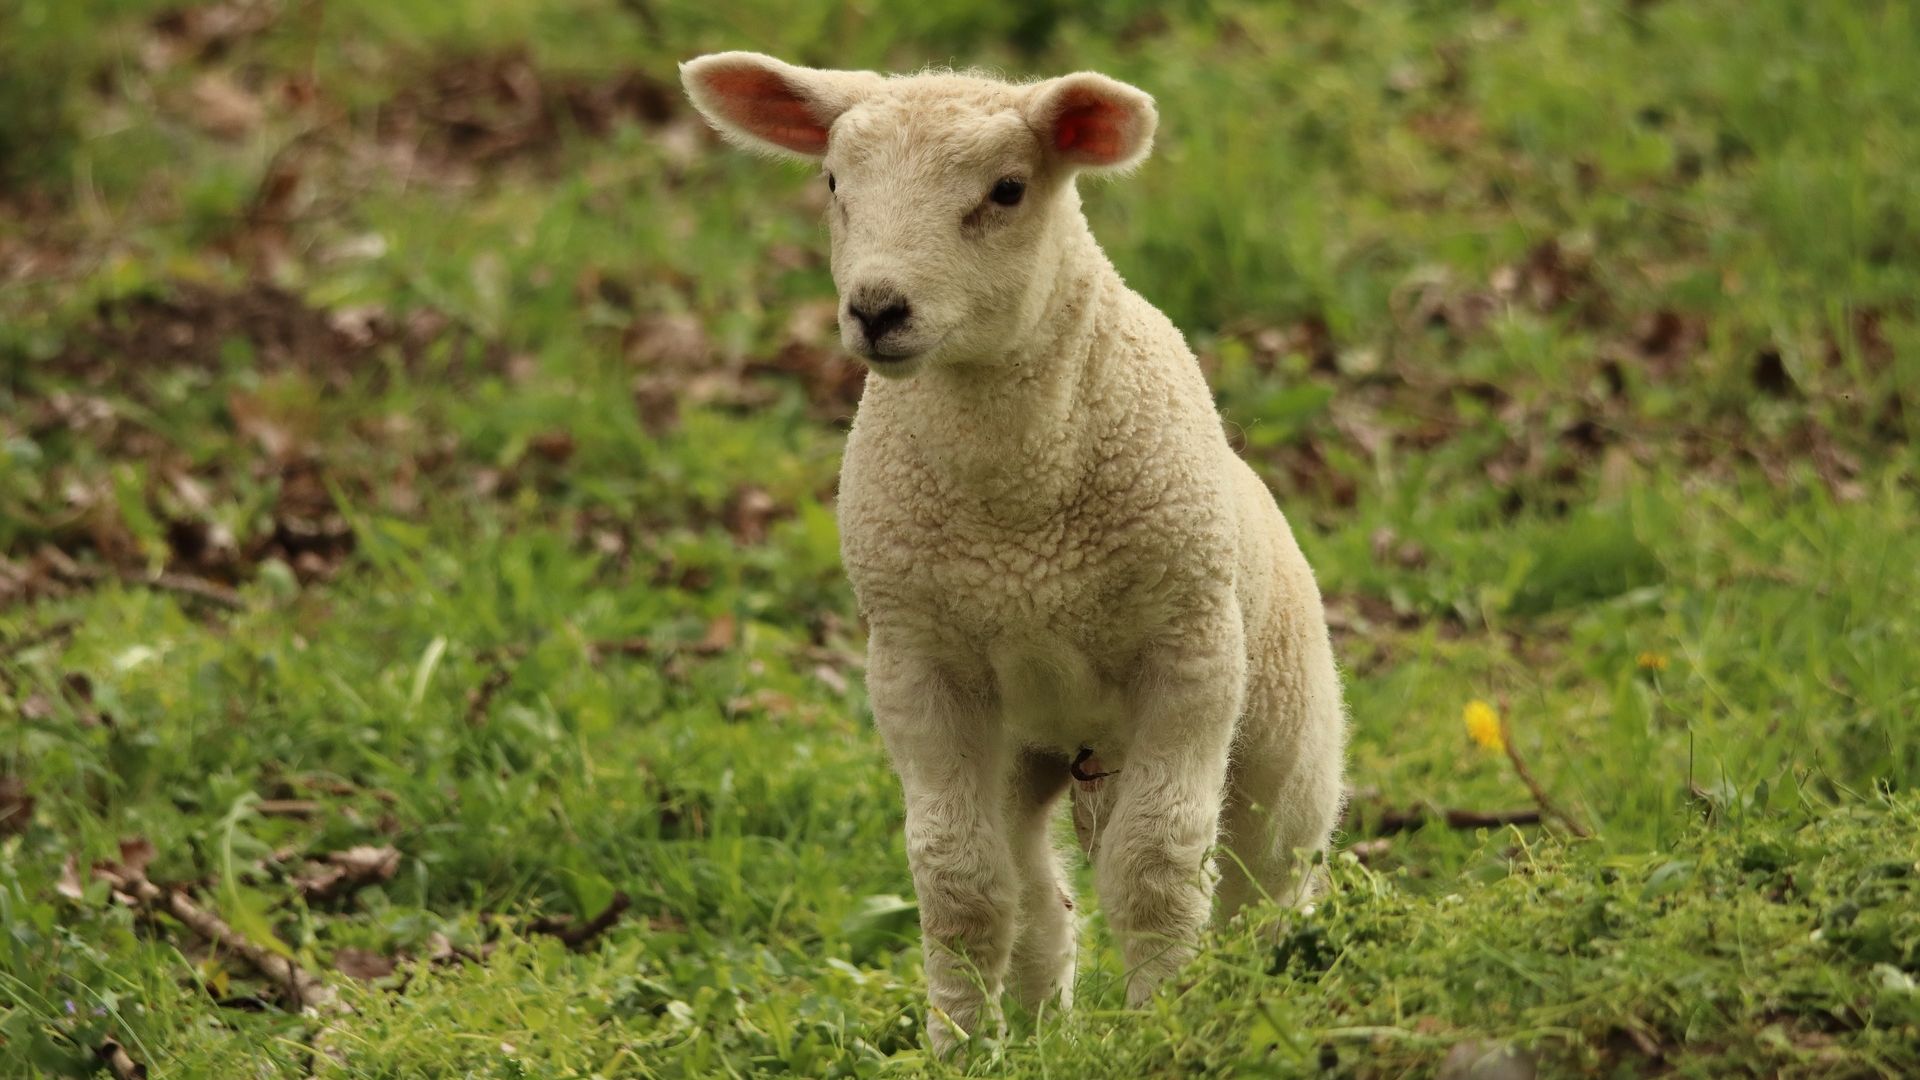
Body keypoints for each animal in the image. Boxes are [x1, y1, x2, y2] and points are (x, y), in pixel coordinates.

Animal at [680, 52, 1348, 1052]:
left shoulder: (1189, 651)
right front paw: (957, 1047)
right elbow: (959, 881)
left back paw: (1254, 993)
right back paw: (1040, 1030)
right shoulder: (918, 661)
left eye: (1007, 190)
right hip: (1026, 745)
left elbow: (1156, 866)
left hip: (1283, 737)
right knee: (1040, 893)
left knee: (1265, 884)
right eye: (834, 182)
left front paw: (1164, 1027)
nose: (877, 309)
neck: (1018, 521)